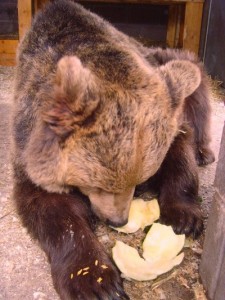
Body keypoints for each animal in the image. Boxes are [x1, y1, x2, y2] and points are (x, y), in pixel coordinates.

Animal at [11, 1, 214, 298]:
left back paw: (203, 151)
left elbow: (179, 151)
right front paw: (94, 279)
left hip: (173, 64)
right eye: (98, 186)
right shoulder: (30, 143)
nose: (117, 220)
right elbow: (52, 210)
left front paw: (184, 216)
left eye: (141, 178)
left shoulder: (165, 114)